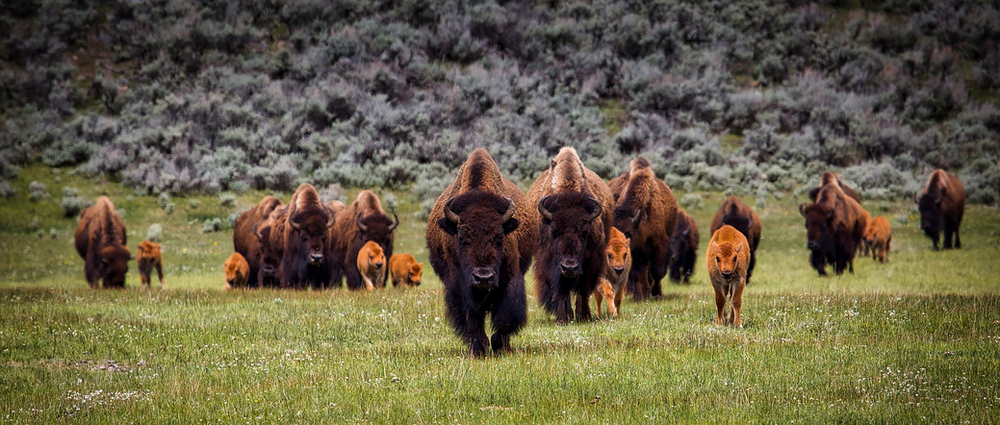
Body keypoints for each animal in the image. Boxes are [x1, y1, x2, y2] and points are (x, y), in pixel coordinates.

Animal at [426, 149, 538, 357]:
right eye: (462, 238)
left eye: (499, 237)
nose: (483, 278)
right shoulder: (459, 284)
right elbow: (471, 318)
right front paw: (479, 348)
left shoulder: (509, 277)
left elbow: (505, 316)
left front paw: (499, 345)